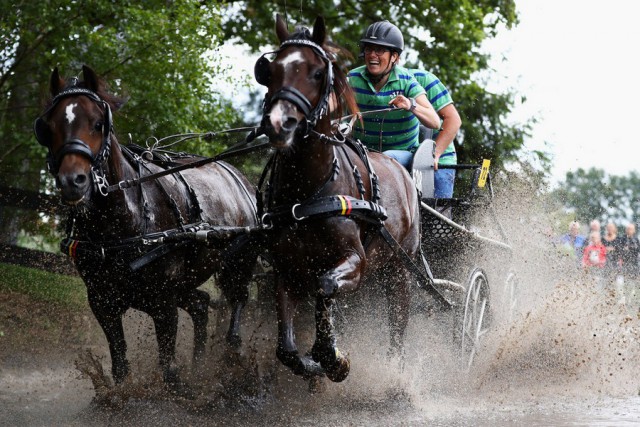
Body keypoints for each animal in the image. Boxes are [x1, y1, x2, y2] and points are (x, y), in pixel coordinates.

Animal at [33, 65, 258, 390]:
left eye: (99, 123)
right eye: (47, 127)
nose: (72, 181)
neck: (123, 225)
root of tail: (240, 178)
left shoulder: (163, 304)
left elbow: (168, 370)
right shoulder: (103, 302)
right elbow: (120, 367)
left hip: (238, 264)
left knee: (237, 305)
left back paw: (232, 355)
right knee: (201, 306)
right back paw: (199, 367)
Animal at [255, 16, 420, 382]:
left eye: (317, 72)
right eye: (270, 71)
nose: (279, 123)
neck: (306, 194)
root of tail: (403, 173)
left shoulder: (355, 260)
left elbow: (326, 286)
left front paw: (331, 356)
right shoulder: (286, 269)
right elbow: (286, 349)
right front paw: (314, 362)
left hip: (400, 268)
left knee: (399, 325)